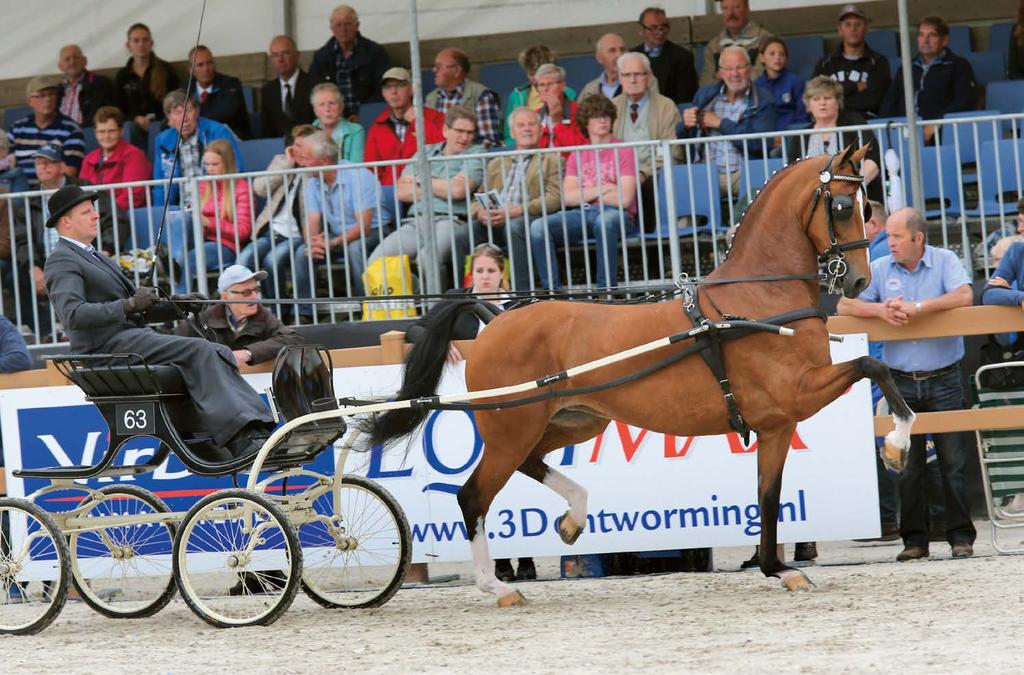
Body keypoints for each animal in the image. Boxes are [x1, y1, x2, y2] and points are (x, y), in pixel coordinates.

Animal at [372, 146, 917, 606]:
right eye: (843, 205)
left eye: (867, 204)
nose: (859, 281)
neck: (758, 301)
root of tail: (494, 319)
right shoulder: (796, 394)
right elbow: (872, 366)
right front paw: (896, 448)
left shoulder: (776, 425)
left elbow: (769, 495)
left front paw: (778, 569)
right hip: (512, 428)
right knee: (473, 495)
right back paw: (497, 586)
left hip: (572, 421)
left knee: (528, 465)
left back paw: (572, 520)